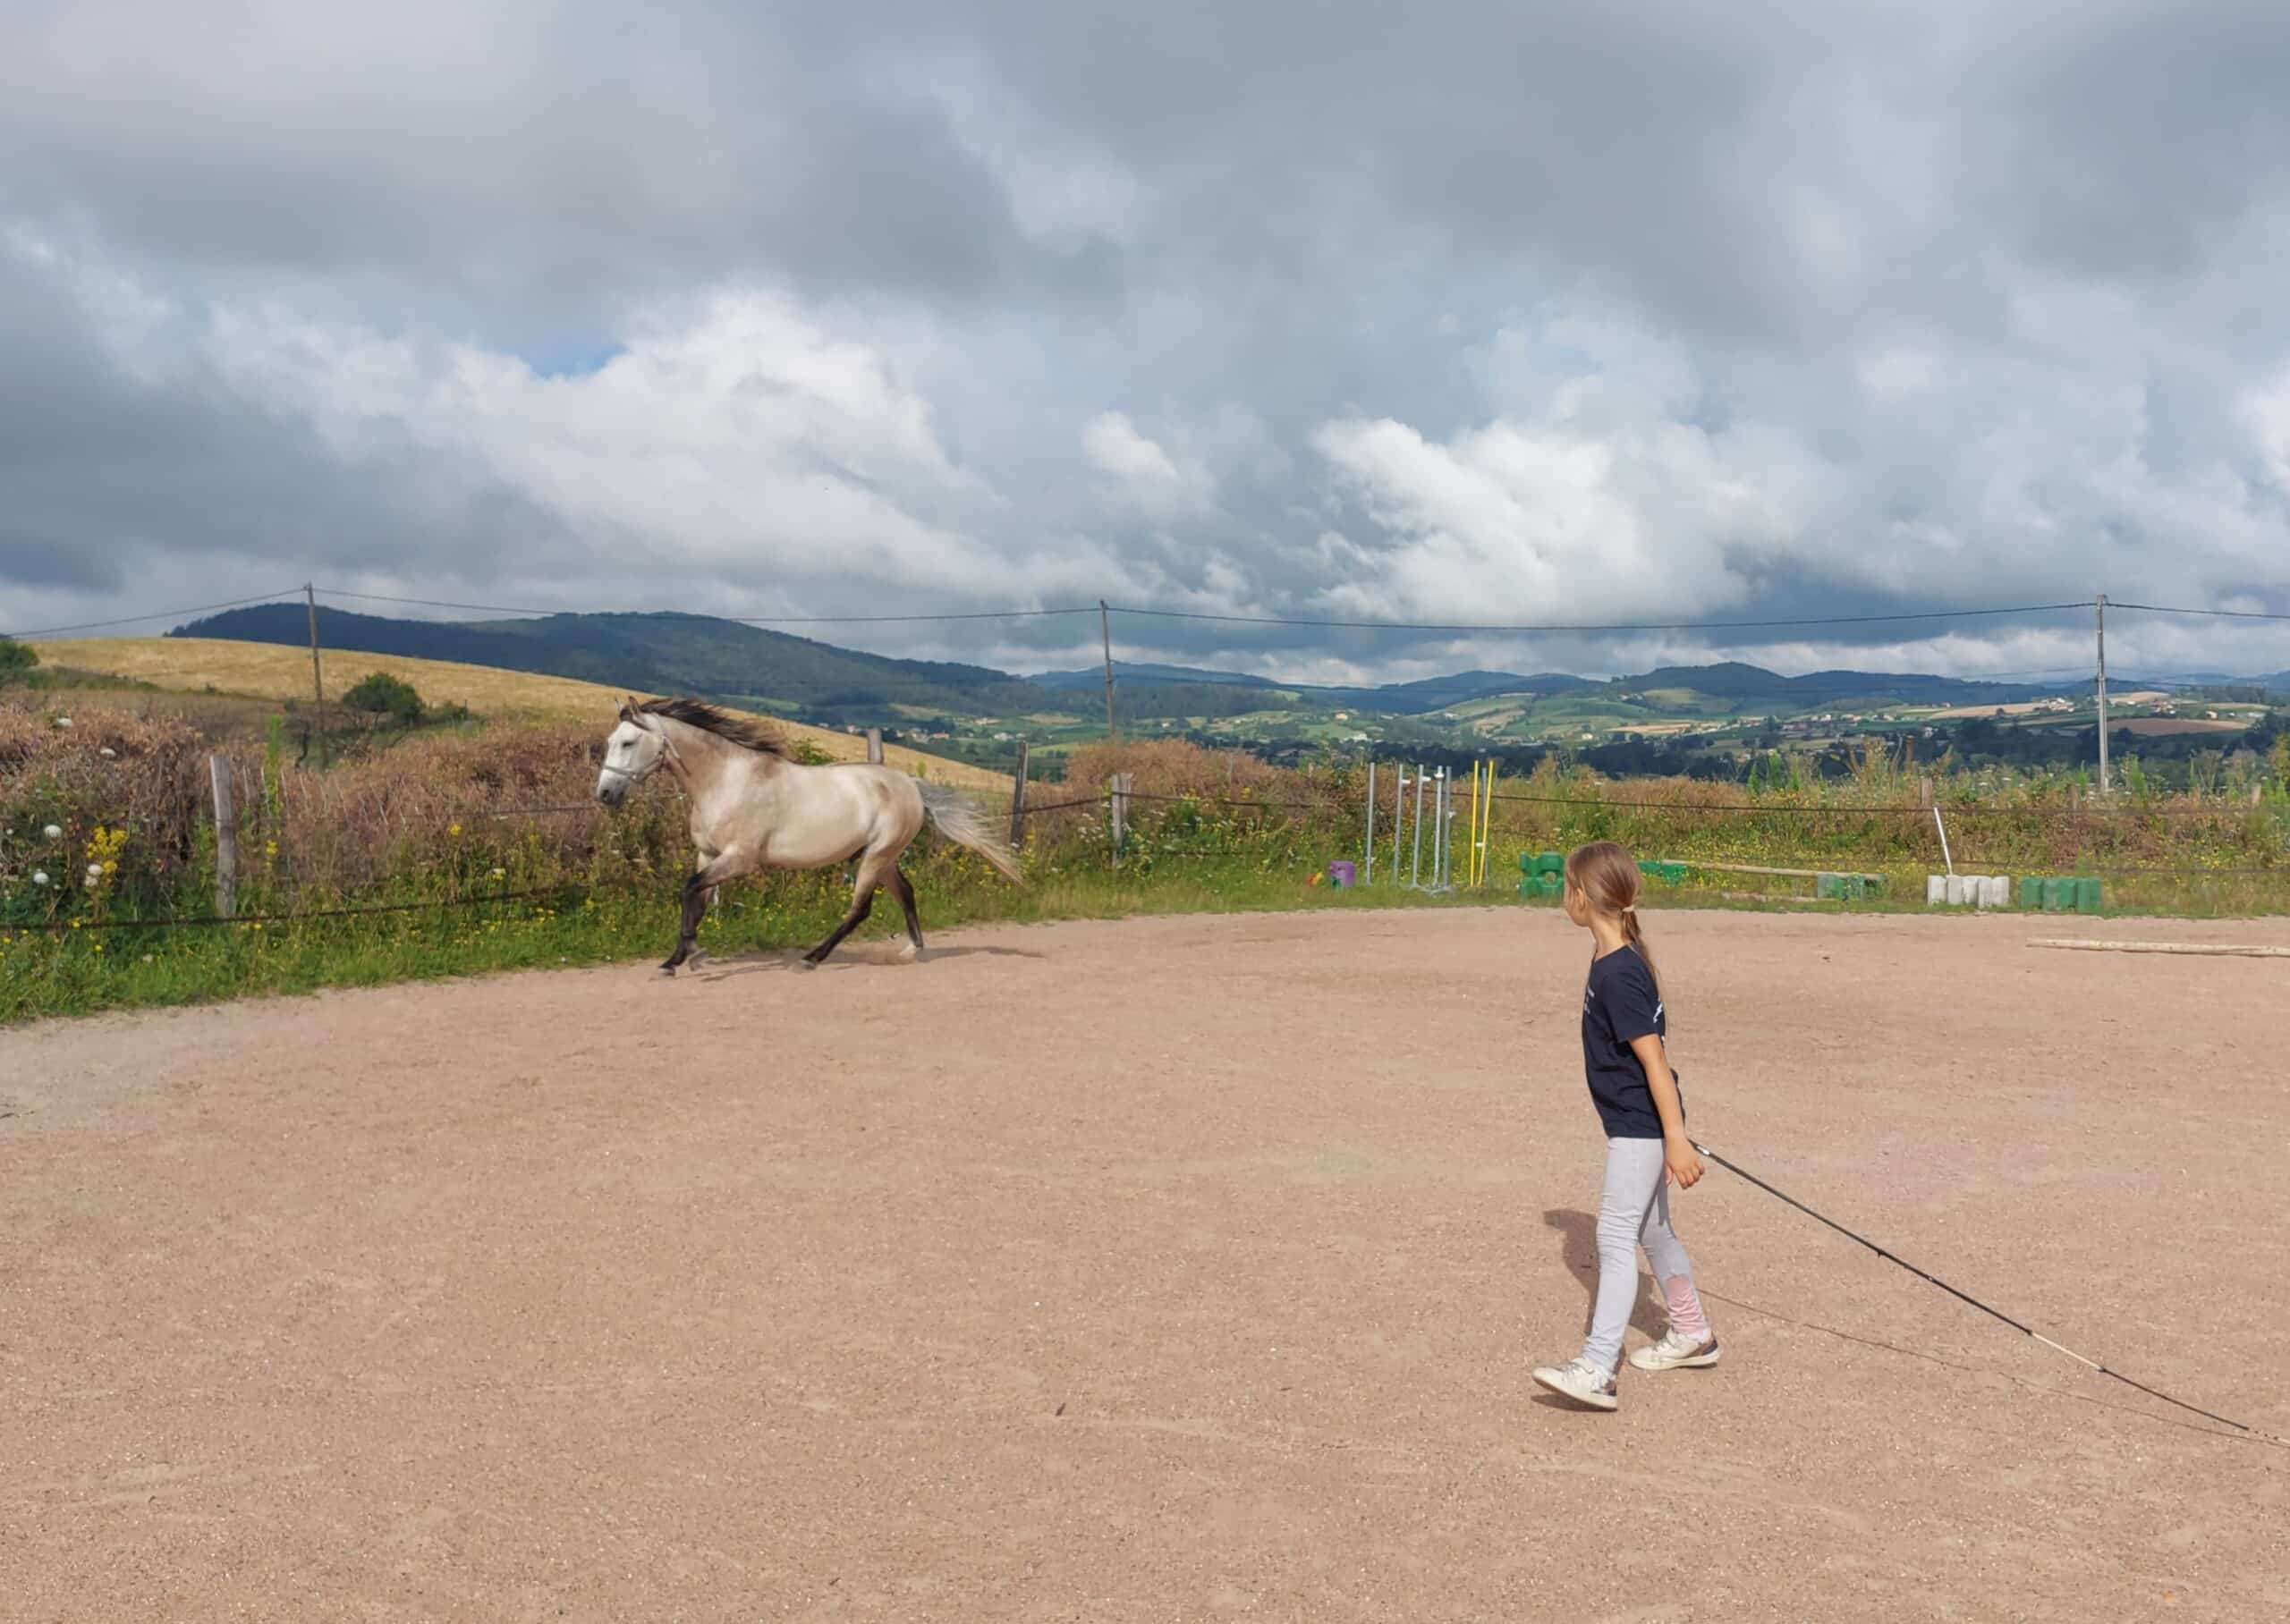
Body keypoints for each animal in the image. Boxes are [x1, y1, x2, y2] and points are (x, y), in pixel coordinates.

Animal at [595, 696, 1025, 976]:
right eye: (610, 742)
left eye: (628, 742)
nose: (604, 794)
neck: (726, 779)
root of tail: (911, 785)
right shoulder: (708, 854)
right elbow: (696, 900)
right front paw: (683, 958)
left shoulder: (740, 858)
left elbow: (689, 890)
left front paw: (685, 958)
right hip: (882, 856)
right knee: (905, 892)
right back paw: (909, 951)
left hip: (876, 856)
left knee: (860, 909)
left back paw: (811, 959)